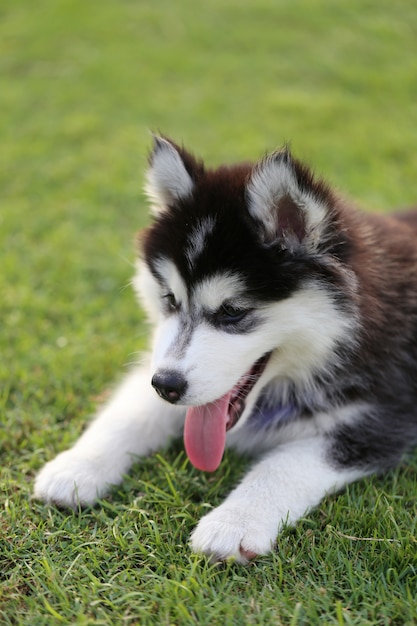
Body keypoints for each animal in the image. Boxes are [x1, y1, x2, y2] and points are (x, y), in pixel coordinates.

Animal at [34, 136, 416, 560]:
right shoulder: (159, 365)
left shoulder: (381, 418)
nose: (166, 386)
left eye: (232, 311)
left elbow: (285, 463)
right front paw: (77, 466)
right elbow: (133, 412)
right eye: (169, 299)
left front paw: (234, 523)